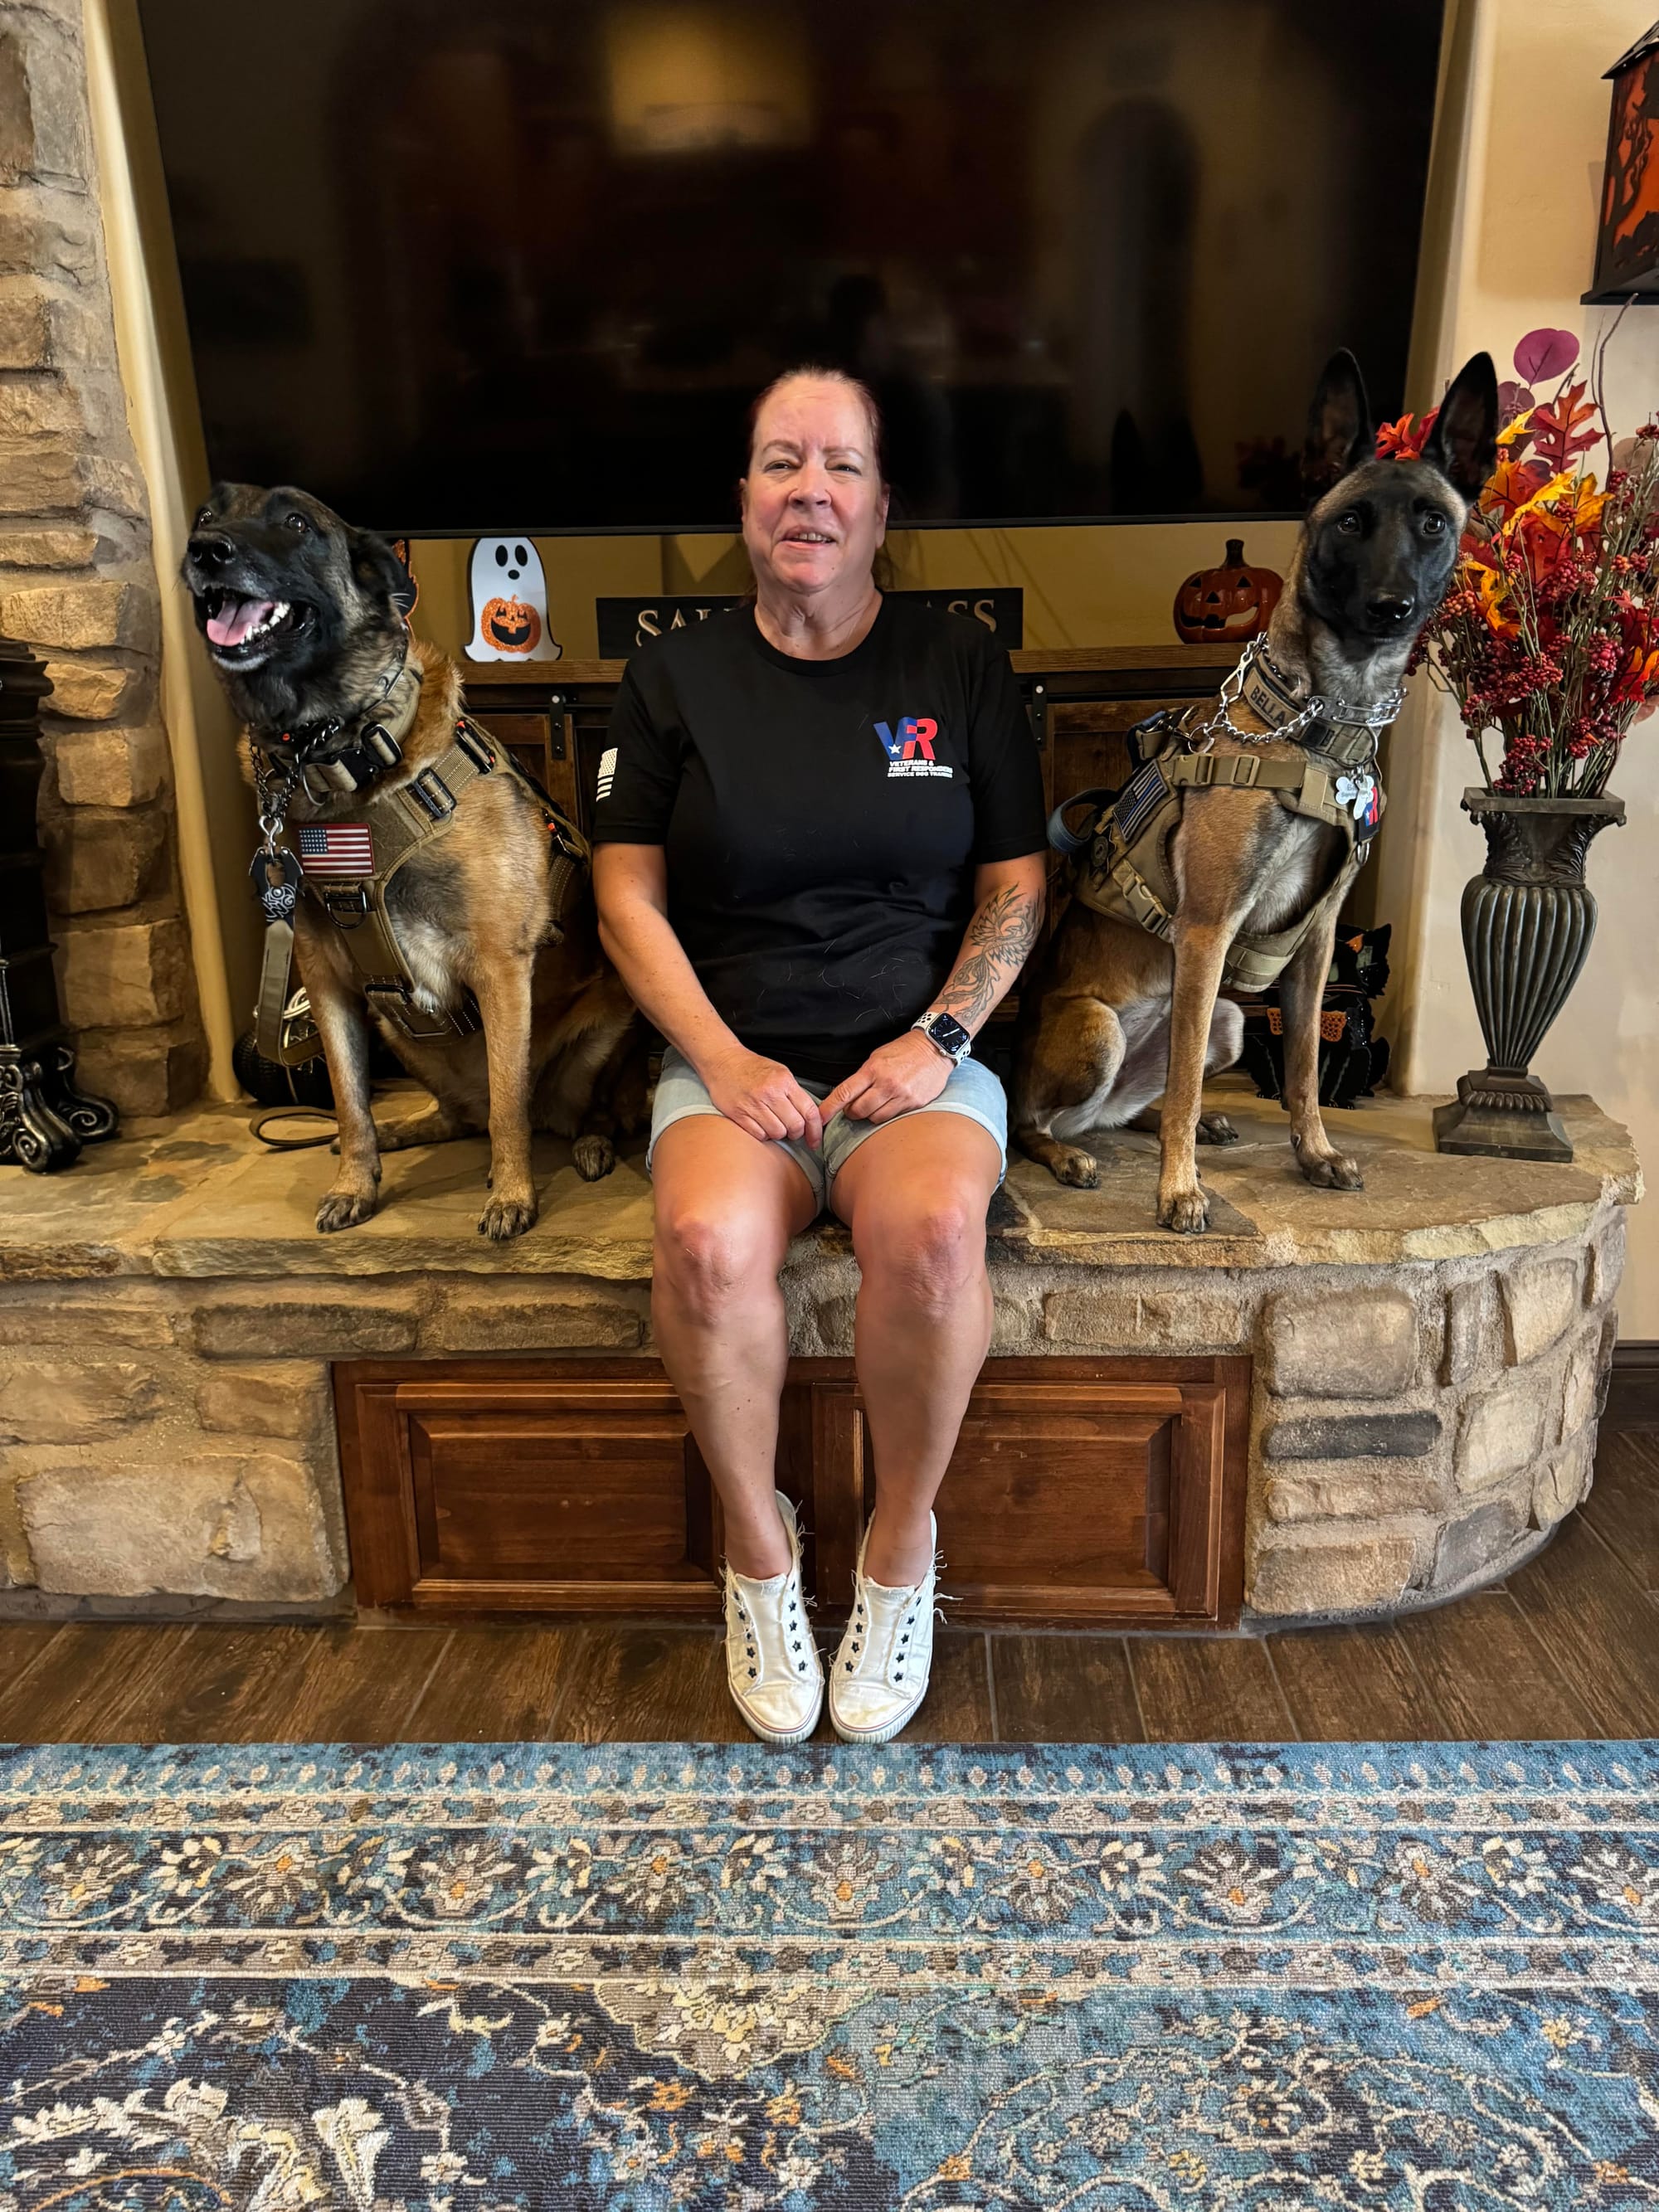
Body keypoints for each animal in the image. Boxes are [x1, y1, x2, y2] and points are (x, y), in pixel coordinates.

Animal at [184, 484, 641, 1238]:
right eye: (204, 515)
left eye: (297, 523)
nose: (204, 550)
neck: (339, 759)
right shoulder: (327, 979)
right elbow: (350, 1102)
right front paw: (357, 1182)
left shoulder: (501, 963)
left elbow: (509, 1104)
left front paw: (511, 1194)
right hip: (394, 1028)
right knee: (459, 1117)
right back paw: (408, 1132)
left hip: (607, 1020)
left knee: (561, 1108)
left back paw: (589, 1143)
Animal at [1022, 353, 1504, 1238]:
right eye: (1349, 523)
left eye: (1433, 523)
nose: (1392, 608)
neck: (1322, 726)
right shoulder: (1207, 930)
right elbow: (1183, 1084)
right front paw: (1180, 1190)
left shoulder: (1314, 940)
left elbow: (1307, 1064)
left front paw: (1313, 1152)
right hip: (1105, 1027)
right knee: (1043, 1119)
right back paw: (1071, 1154)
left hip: (1228, 1022)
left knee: (1135, 1106)